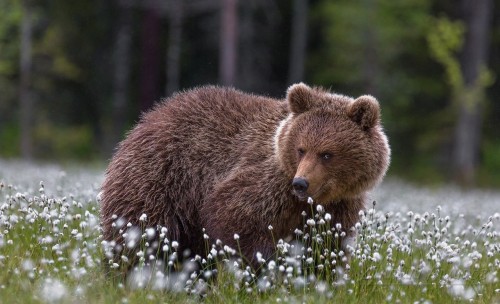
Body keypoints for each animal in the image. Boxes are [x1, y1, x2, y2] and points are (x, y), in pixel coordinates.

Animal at [99, 83, 390, 274]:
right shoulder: (267, 182)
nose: (301, 183)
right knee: (139, 235)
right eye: (301, 148)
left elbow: (327, 247)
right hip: (161, 180)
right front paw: (267, 266)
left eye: (327, 154)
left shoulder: (339, 206)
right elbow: (235, 214)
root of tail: (145, 120)